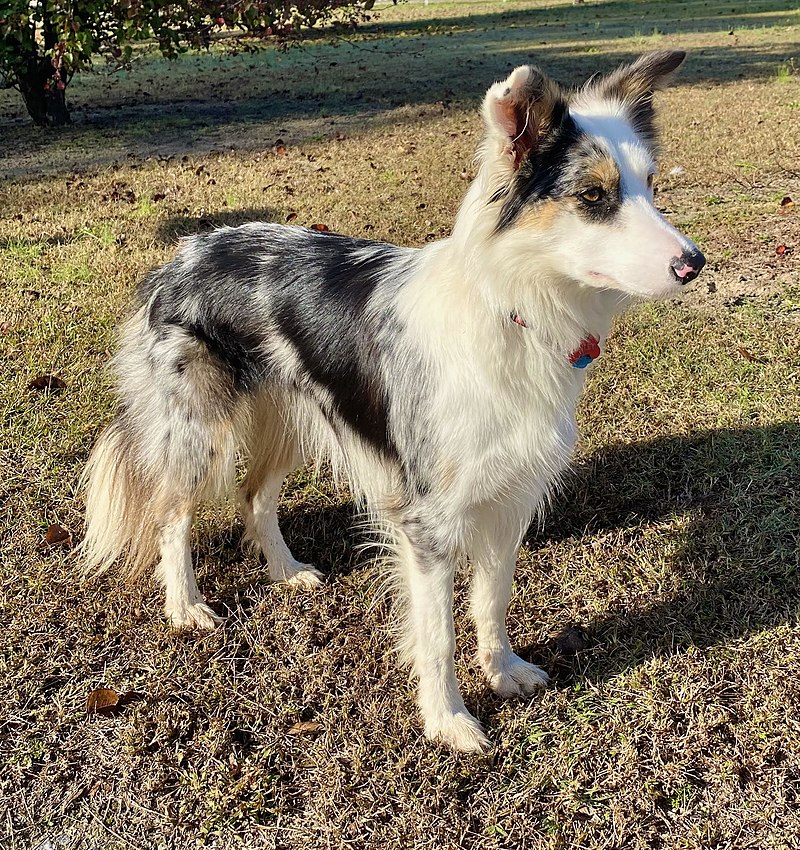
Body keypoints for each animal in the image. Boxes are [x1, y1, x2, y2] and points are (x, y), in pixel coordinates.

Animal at [79, 51, 708, 748]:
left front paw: (503, 671)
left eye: (650, 185)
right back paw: (185, 605)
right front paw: (449, 720)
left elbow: (492, 599)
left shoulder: (508, 497)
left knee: (253, 494)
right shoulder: (428, 521)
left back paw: (285, 571)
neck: (512, 307)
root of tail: (185, 253)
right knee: (172, 515)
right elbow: (437, 635)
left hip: (295, 417)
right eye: (594, 195)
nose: (694, 263)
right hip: (196, 429)